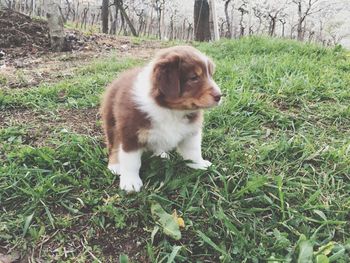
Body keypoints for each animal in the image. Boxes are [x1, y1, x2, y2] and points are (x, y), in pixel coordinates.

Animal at [100, 46, 221, 193]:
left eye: (211, 75)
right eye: (194, 77)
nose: (220, 96)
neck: (171, 110)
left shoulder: (191, 132)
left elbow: (194, 151)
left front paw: (200, 165)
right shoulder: (131, 134)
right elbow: (131, 162)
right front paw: (130, 183)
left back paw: (160, 154)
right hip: (111, 121)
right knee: (113, 145)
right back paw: (115, 165)